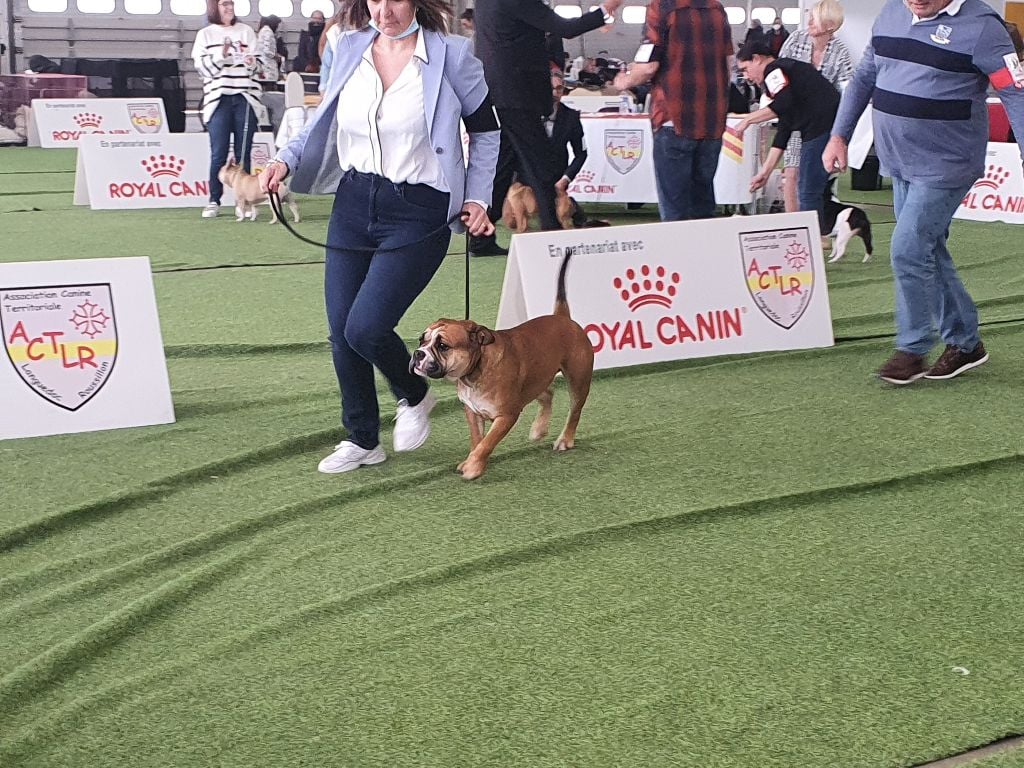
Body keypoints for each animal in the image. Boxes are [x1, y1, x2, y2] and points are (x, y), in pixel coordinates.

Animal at [407, 252, 593, 481]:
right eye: (421, 340)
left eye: (443, 346)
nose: (418, 353)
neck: (476, 369)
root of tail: (563, 318)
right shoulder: (472, 412)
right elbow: (477, 439)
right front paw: (471, 460)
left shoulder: (506, 416)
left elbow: (487, 442)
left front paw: (473, 467)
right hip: (536, 380)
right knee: (547, 394)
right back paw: (538, 430)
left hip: (578, 380)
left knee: (574, 411)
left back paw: (565, 439)